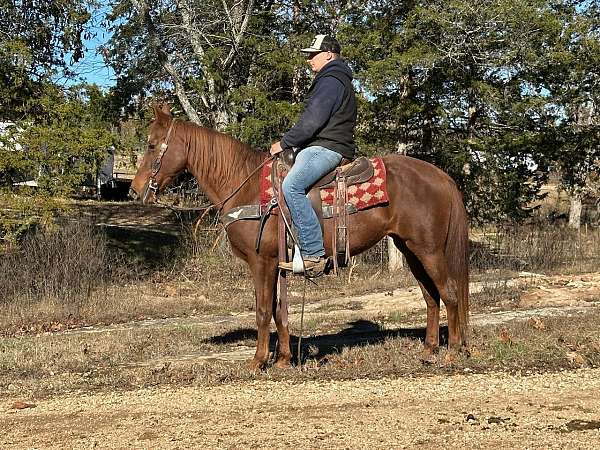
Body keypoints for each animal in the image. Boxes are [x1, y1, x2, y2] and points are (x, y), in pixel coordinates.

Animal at [130, 105, 468, 370]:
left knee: (449, 293)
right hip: (410, 249)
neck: (246, 187)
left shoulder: (260, 262)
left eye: (151, 145)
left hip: (429, 250)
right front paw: (282, 359)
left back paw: (452, 352)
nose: (135, 189)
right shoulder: (276, 263)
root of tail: (441, 176)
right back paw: (429, 351)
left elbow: (262, 311)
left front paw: (258, 361)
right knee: (430, 296)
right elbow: (279, 311)